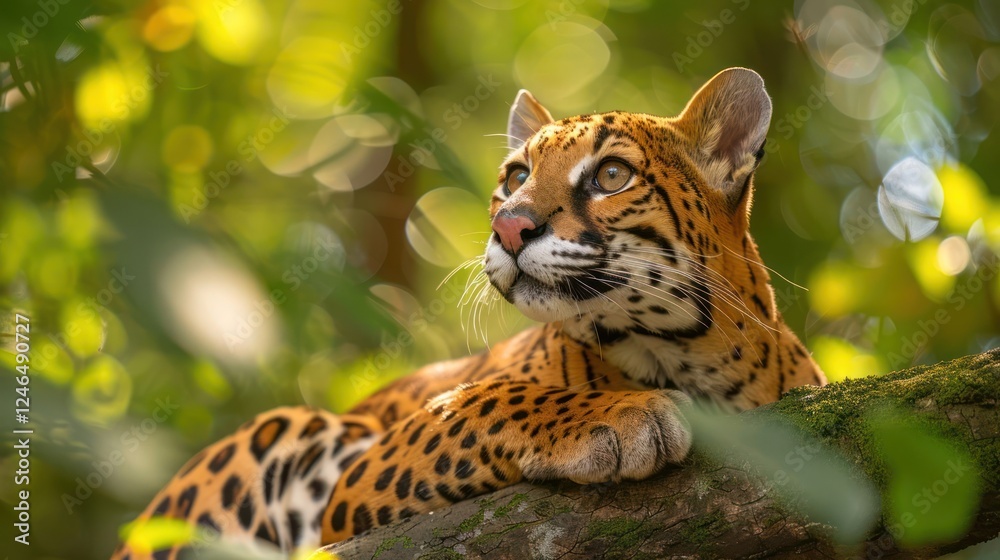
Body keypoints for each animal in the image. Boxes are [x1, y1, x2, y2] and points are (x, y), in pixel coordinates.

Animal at [110, 68, 826, 559]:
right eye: (515, 177)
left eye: (612, 175)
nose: (510, 227)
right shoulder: (359, 480)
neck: (688, 353)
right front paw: (622, 415)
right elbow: (484, 398)